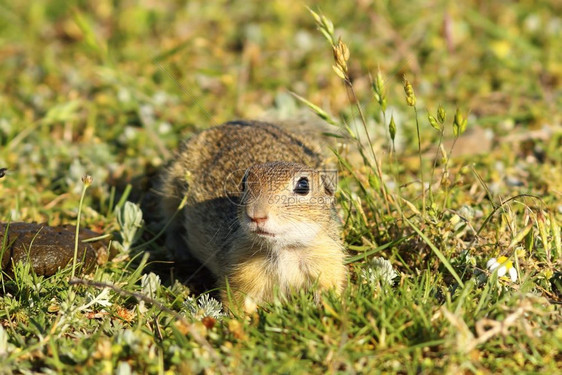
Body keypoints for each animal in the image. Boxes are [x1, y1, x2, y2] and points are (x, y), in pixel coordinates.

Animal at [159, 120, 346, 312]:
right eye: (243, 184)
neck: (284, 249)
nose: (256, 215)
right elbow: (237, 303)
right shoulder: (241, 273)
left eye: (303, 185)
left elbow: (329, 290)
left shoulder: (327, 259)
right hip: (171, 186)